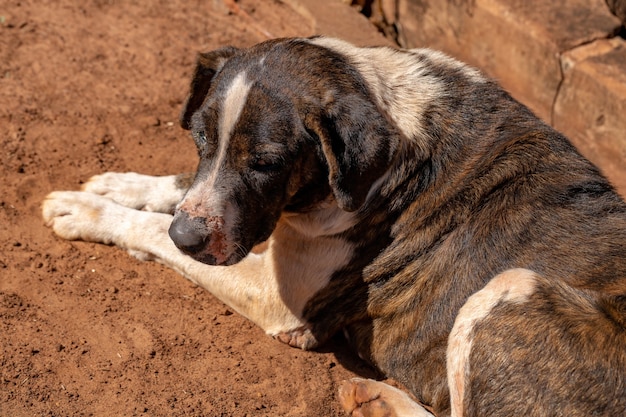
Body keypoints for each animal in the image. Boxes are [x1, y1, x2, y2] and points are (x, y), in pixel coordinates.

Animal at [44, 37, 624, 414]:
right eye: (200, 138)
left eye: (268, 163)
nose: (186, 238)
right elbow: (182, 187)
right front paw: (119, 186)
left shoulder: (277, 299)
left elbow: (151, 230)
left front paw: (89, 211)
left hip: (511, 288)